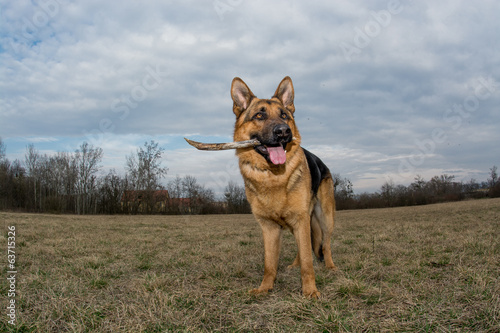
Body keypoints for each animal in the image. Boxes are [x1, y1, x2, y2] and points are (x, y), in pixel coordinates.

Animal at [231, 76, 336, 296]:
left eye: (284, 116)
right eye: (259, 115)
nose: (283, 131)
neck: (273, 176)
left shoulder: (301, 220)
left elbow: (308, 261)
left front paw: (310, 291)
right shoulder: (270, 228)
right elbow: (270, 263)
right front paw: (265, 288)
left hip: (326, 218)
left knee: (326, 244)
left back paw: (330, 266)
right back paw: (295, 264)